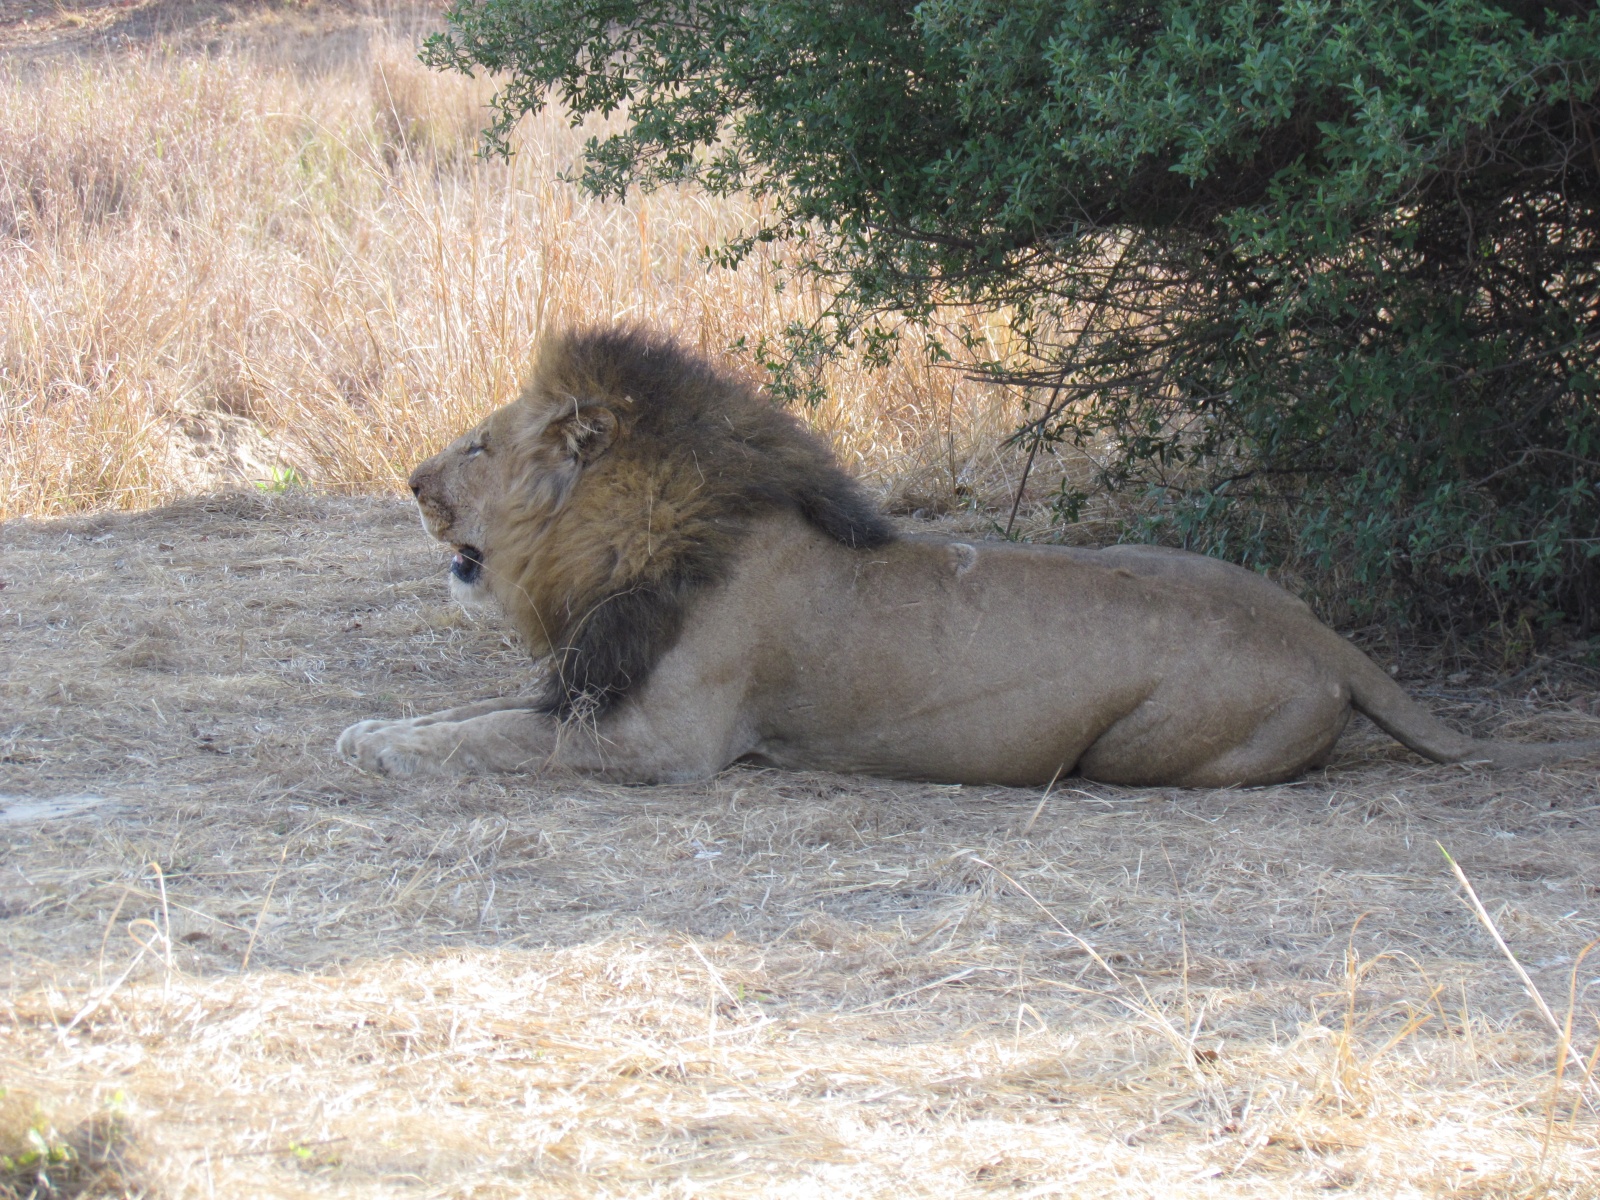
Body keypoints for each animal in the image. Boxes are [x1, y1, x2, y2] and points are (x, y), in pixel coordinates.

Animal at [338, 327, 1600, 787]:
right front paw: (375, 727)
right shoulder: (595, 683)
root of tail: (1323, 638)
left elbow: (495, 735)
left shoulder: (666, 741)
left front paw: (381, 743)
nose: (409, 483)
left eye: (478, 446)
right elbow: (478, 712)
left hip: (1138, 753)